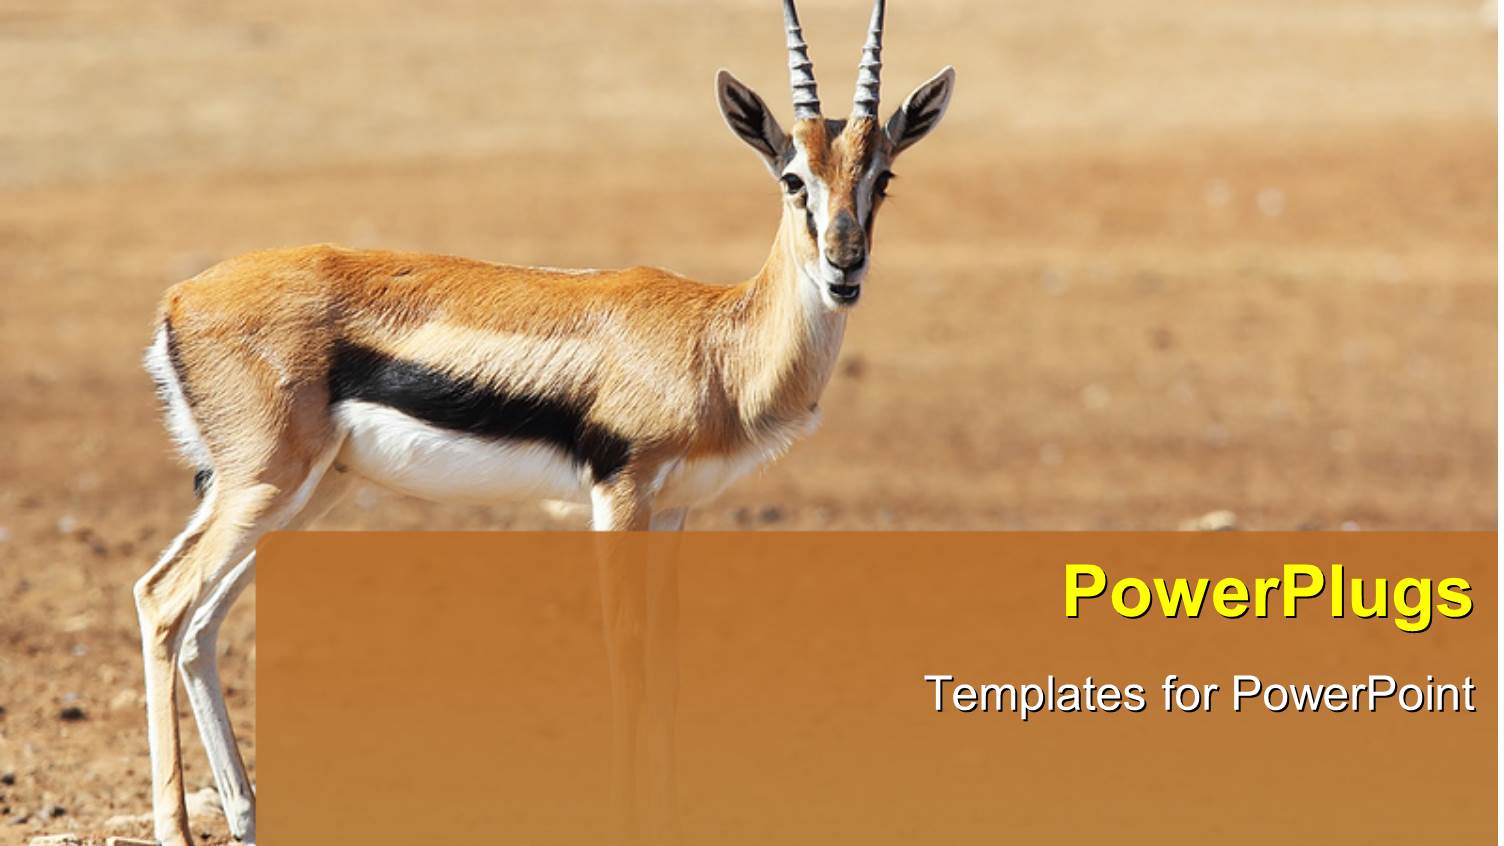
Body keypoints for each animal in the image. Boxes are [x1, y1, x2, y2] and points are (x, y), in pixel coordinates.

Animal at [135, 1, 954, 843]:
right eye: (794, 178)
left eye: (882, 175)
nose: (844, 266)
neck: (716, 342)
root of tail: (179, 298)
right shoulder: (619, 493)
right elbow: (626, 662)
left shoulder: (675, 510)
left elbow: (666, 667)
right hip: (264, 485)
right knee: (164, 600)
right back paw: (177, 827)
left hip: (305, 494)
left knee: (202, 624)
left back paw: (245, 816)